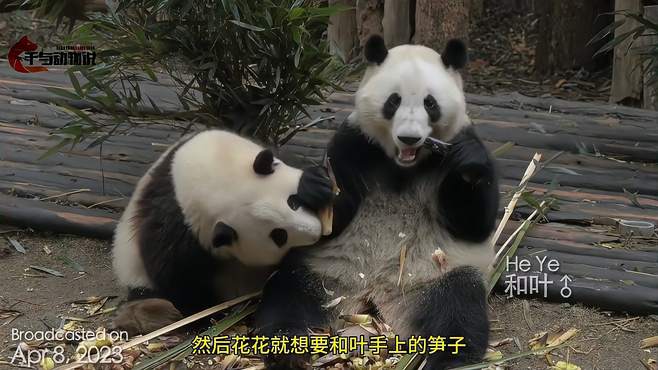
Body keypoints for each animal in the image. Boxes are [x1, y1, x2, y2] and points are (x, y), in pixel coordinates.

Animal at [111, 130, 334, 336]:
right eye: (279, 236)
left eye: (293, 202)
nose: (315, 233)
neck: (216, 179)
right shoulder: (179, 228)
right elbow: (177, 275)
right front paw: (205, 314)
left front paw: (314, 185)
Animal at [256, 35, 498, 370]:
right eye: (393, 101)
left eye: (430, 103)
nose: (409, 138)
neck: (403, 165)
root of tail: (373, 293)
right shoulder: (354, 144)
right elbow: (337, 215)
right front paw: (316, 186)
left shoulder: (456, 146)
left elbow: (473, 224)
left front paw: (469, 164)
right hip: (326, 272)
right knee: (288, 294)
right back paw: (288, 348)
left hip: (429, 278)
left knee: (459, 310)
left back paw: (449, 360)